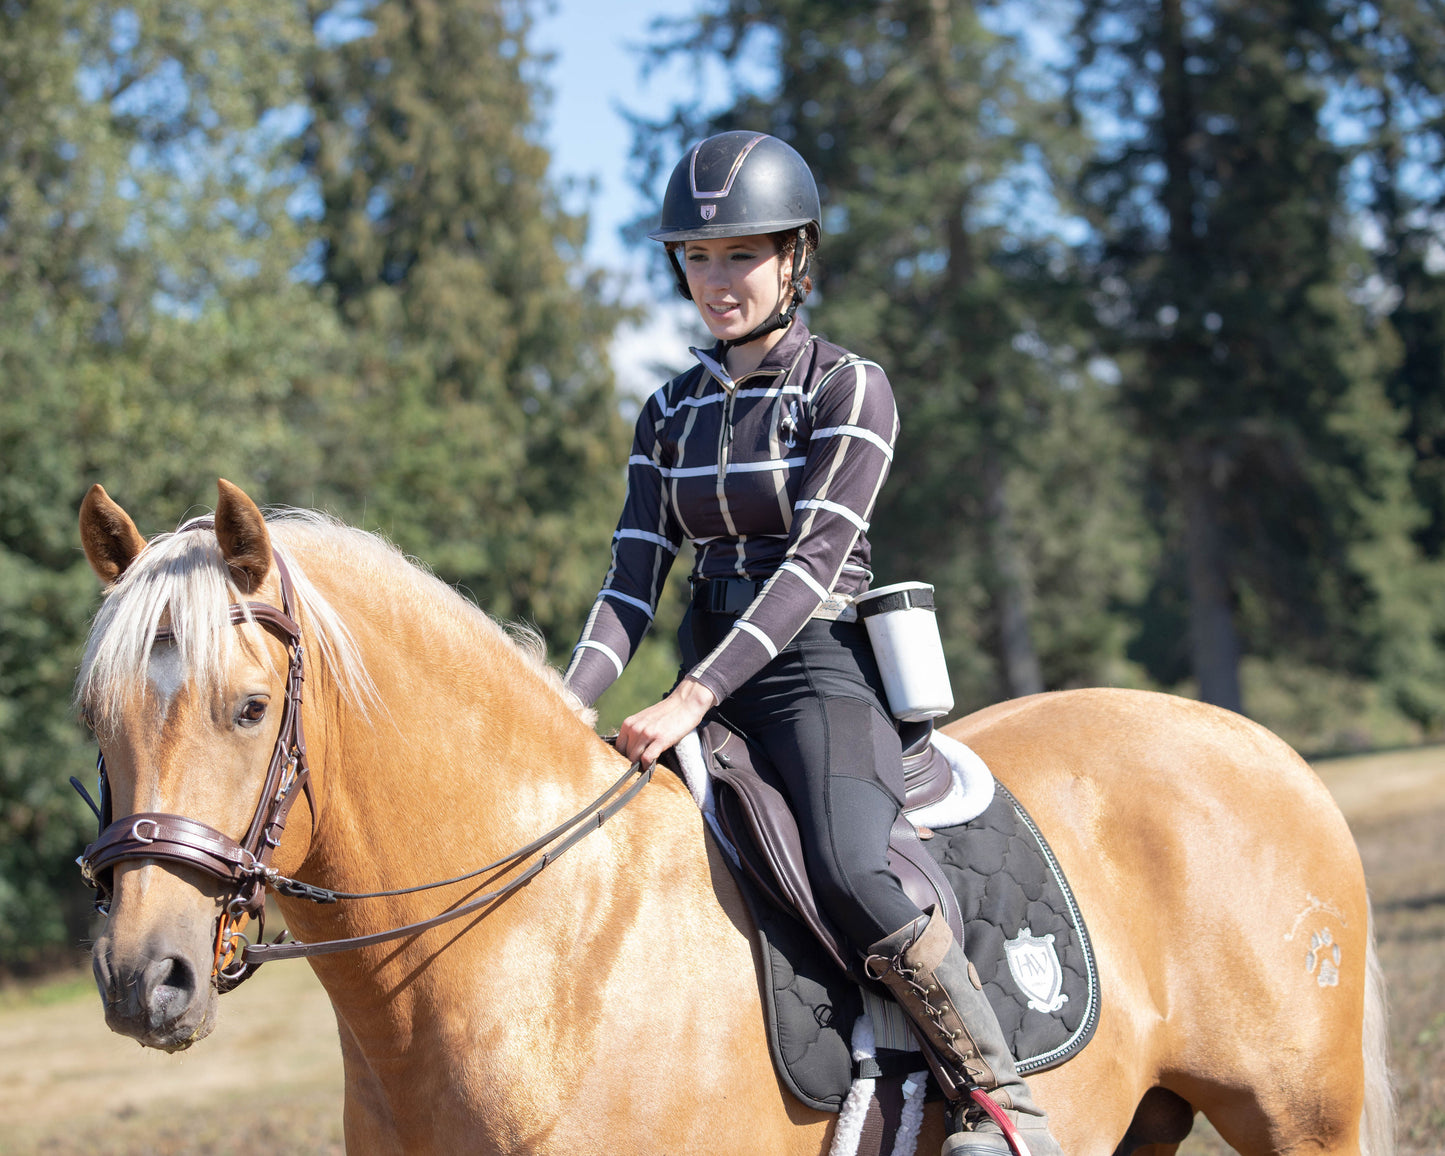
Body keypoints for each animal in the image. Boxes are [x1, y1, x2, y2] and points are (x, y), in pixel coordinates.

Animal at [76, 479, 1387, 1156]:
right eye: (98, 720)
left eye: (249, 708)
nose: (146, 980)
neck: (540, 962)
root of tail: (1258, 747)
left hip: (1298, 1122)